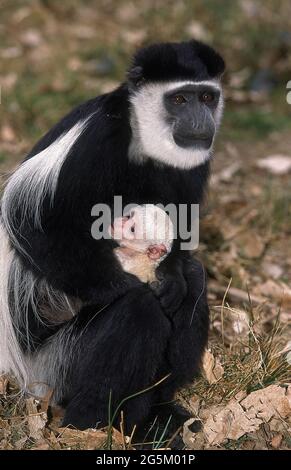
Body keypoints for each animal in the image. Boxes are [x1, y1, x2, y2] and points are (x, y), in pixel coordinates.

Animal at [0, 40, 226, 434]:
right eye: (179, 99)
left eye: (206, 97)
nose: (201, 119)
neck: (143, 145)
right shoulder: (97, 140)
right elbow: (30, 224)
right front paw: (124, 286)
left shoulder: (193, 162)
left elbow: (182, 234)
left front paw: (171, 278)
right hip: (52, 367)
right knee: (137, 312)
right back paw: (89, 425)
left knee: (195, 278)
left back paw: (155, 415)